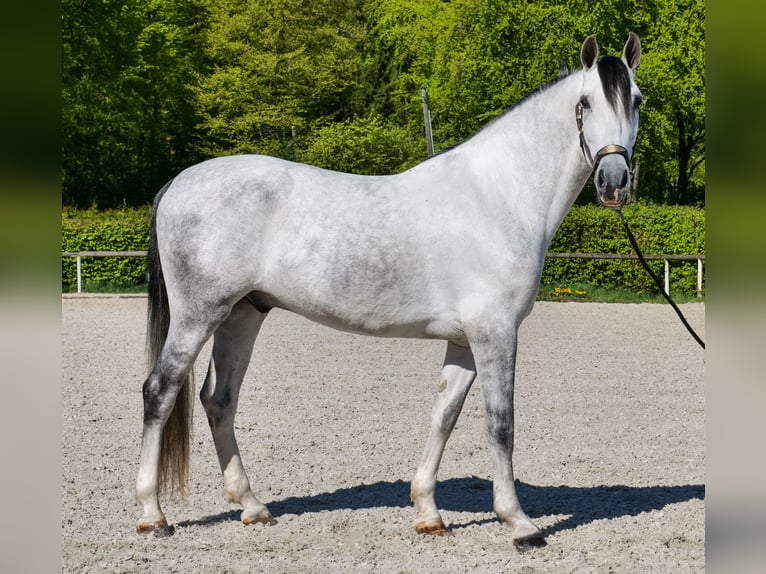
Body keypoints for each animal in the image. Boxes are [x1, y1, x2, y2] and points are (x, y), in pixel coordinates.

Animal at [136, 33, 642, 550]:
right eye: (585, 102)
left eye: (637, 100)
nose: (614, 182)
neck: (498, 196)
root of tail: (178, 183)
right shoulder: (495, 333)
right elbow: (501, 423)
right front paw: (519, 523)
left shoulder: (464, 341)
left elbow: (444, 415)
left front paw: (428, 513)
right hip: (198, 315)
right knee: (159, 391)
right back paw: (153, 515)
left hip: (242, 314)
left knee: (219, 400)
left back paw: (253, 507)